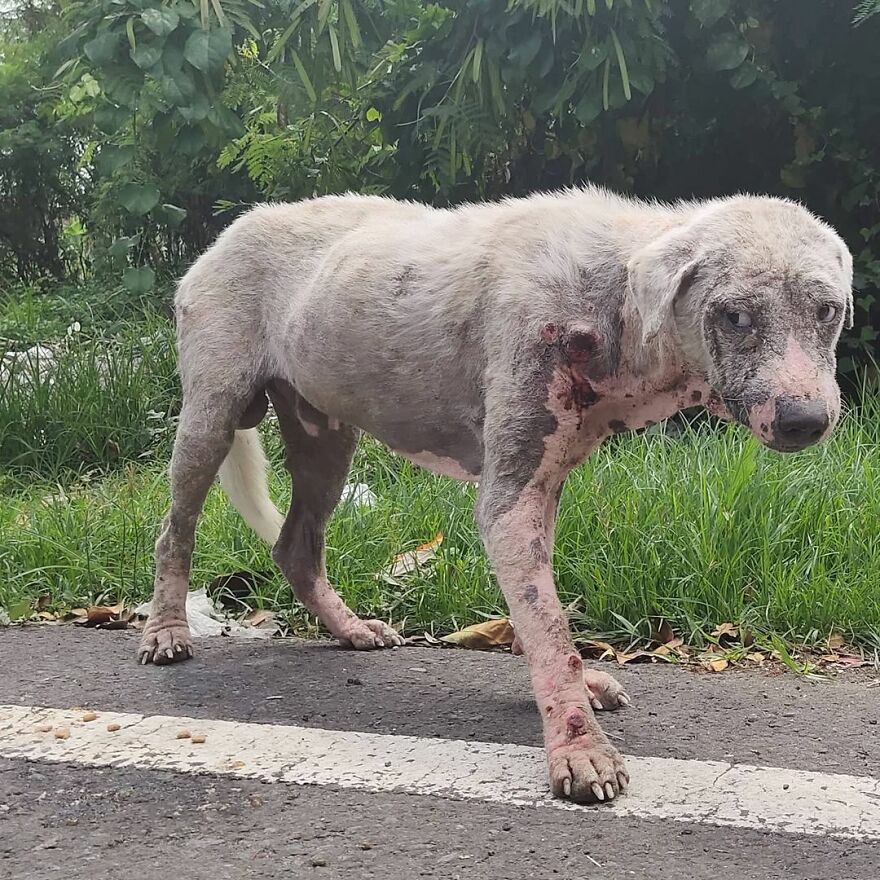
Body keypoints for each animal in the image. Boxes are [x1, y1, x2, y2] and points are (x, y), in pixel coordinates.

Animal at [138, 186, 852, 804]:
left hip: (325, 439)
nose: (806, 421)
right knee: (175, 530)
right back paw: (167, 631)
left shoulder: (541, 487)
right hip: (210, 419)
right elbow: (551, 627)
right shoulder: (510, 499)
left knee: (294, 546)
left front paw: (575, 685)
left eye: (829, 310)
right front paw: (579, 751)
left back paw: (349, 628)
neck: (611, 302)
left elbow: (540, 617)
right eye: (735, 316)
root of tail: (224, 236)